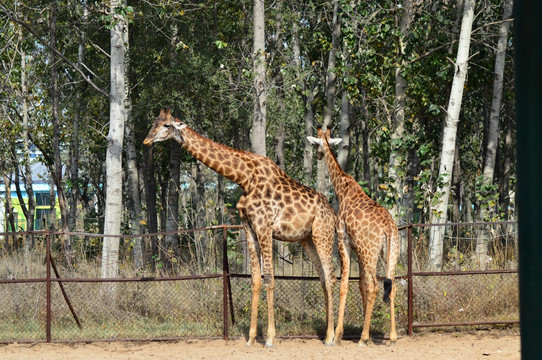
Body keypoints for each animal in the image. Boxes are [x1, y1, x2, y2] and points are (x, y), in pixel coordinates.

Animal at [144, 109, 340, 346]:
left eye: (166, 125)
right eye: (153, 122)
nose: (146, 140)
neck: (244, 178)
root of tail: (332, 212)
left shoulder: (265, 227)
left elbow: (269, 279)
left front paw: (270, 338)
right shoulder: (249, 228)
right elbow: (255, 280)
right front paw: (251, 338)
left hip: (323, 234)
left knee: (331, 276)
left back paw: (331, 337)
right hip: (307, 238)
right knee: (323, 277)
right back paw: (329, 334)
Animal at [308, 128, 402, 348]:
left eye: (316, 144)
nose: (318, 155)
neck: (342, 189)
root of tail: (388, 228)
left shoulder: (344, 241)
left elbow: (345, 284)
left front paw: (338, 335)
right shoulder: (358, 250)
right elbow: (361, 285)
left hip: (370, 252)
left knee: (376, 286)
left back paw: (363, 338)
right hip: (389, 252)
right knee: (391, 285)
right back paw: (392, 337)